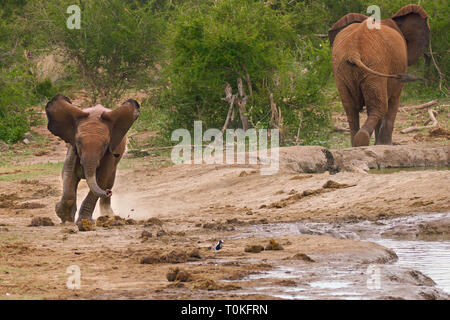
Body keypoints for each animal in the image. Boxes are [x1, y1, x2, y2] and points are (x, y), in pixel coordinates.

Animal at [328, 4, 430, 147]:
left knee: (350, 109)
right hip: (375, 65)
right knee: (380, 106)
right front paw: (385, 145)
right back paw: (363, 140)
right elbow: (393, 101)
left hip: (342, 70)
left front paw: (379, 144)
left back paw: (356, 143)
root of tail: (353, 51)